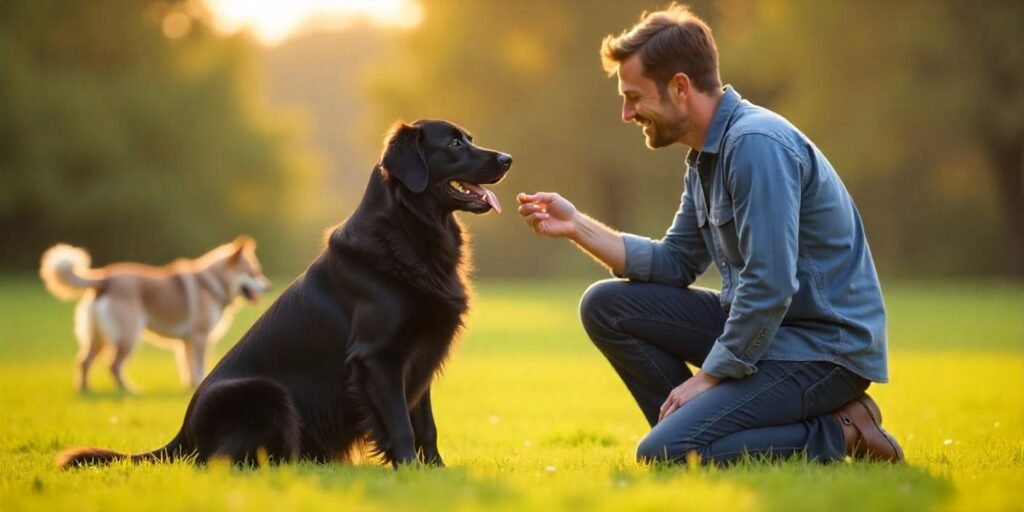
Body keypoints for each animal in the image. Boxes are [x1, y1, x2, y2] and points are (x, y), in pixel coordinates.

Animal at [40, 235, 272, 391]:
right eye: (253, 273)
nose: (268, 287)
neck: (211, 283)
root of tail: (106, 278)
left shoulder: (186, 341)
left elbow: (188, 366)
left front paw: (191, 386)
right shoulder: (200, 336)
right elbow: (198, 365)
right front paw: (197, 383)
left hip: (98, 338)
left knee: (84, 361)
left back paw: (86, 389)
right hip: (129, 336)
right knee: (113, 365)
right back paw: (129, 391)